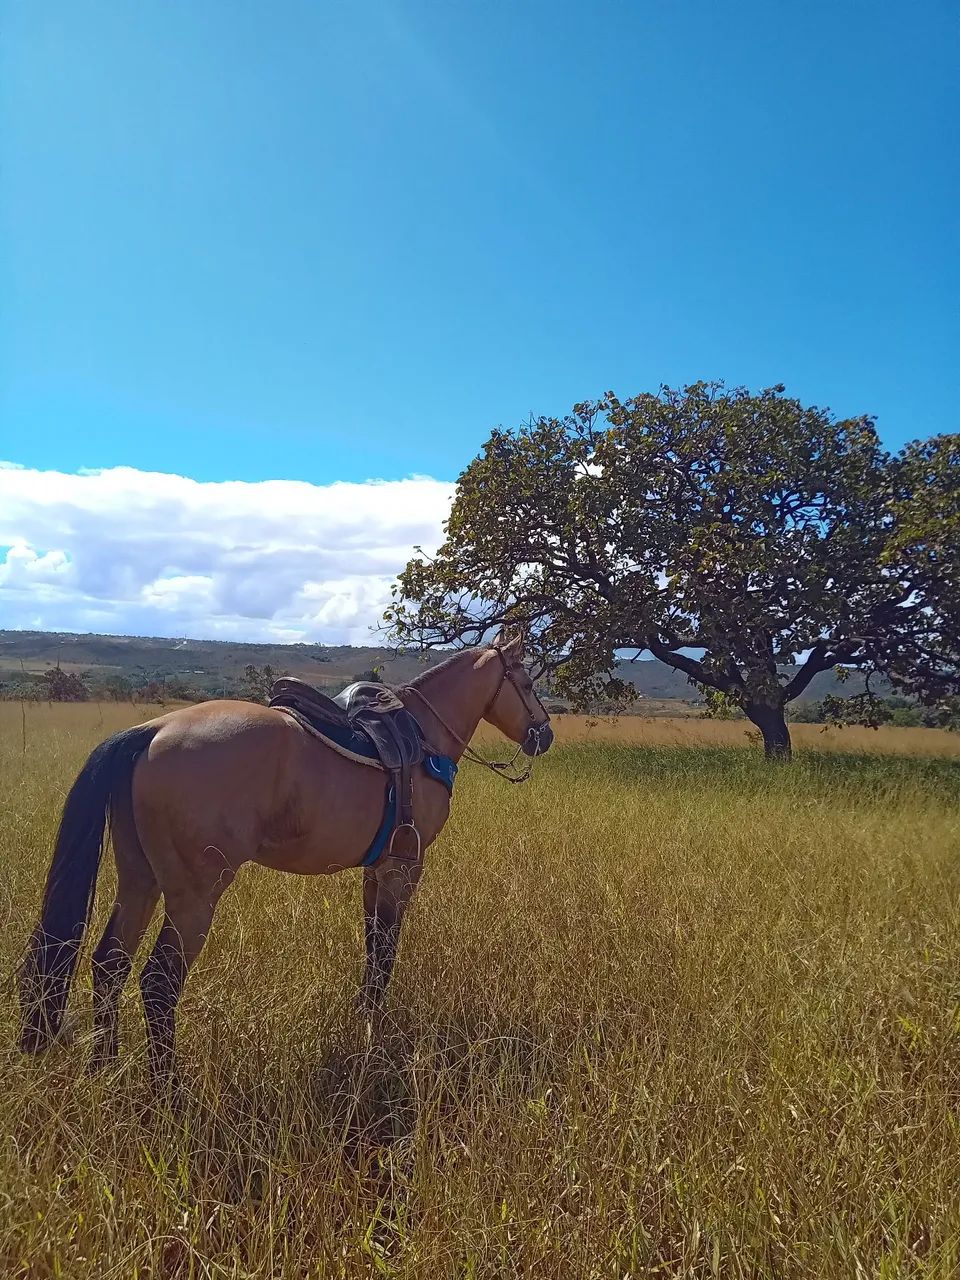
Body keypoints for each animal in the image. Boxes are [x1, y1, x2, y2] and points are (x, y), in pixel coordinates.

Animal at [19, 633, 553, 1086]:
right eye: (526, 683)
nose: (543, 735)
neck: (422, 739)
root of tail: (151, 729)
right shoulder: (405, 865)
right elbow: (386, 947)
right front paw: (377, 1029)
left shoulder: (376, 869)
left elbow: (372, 944)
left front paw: (366, 1017)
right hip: (193, 896)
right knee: (157, 983)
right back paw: (166, 1088)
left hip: (139, 880)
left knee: (110, 964)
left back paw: (103, 1069)